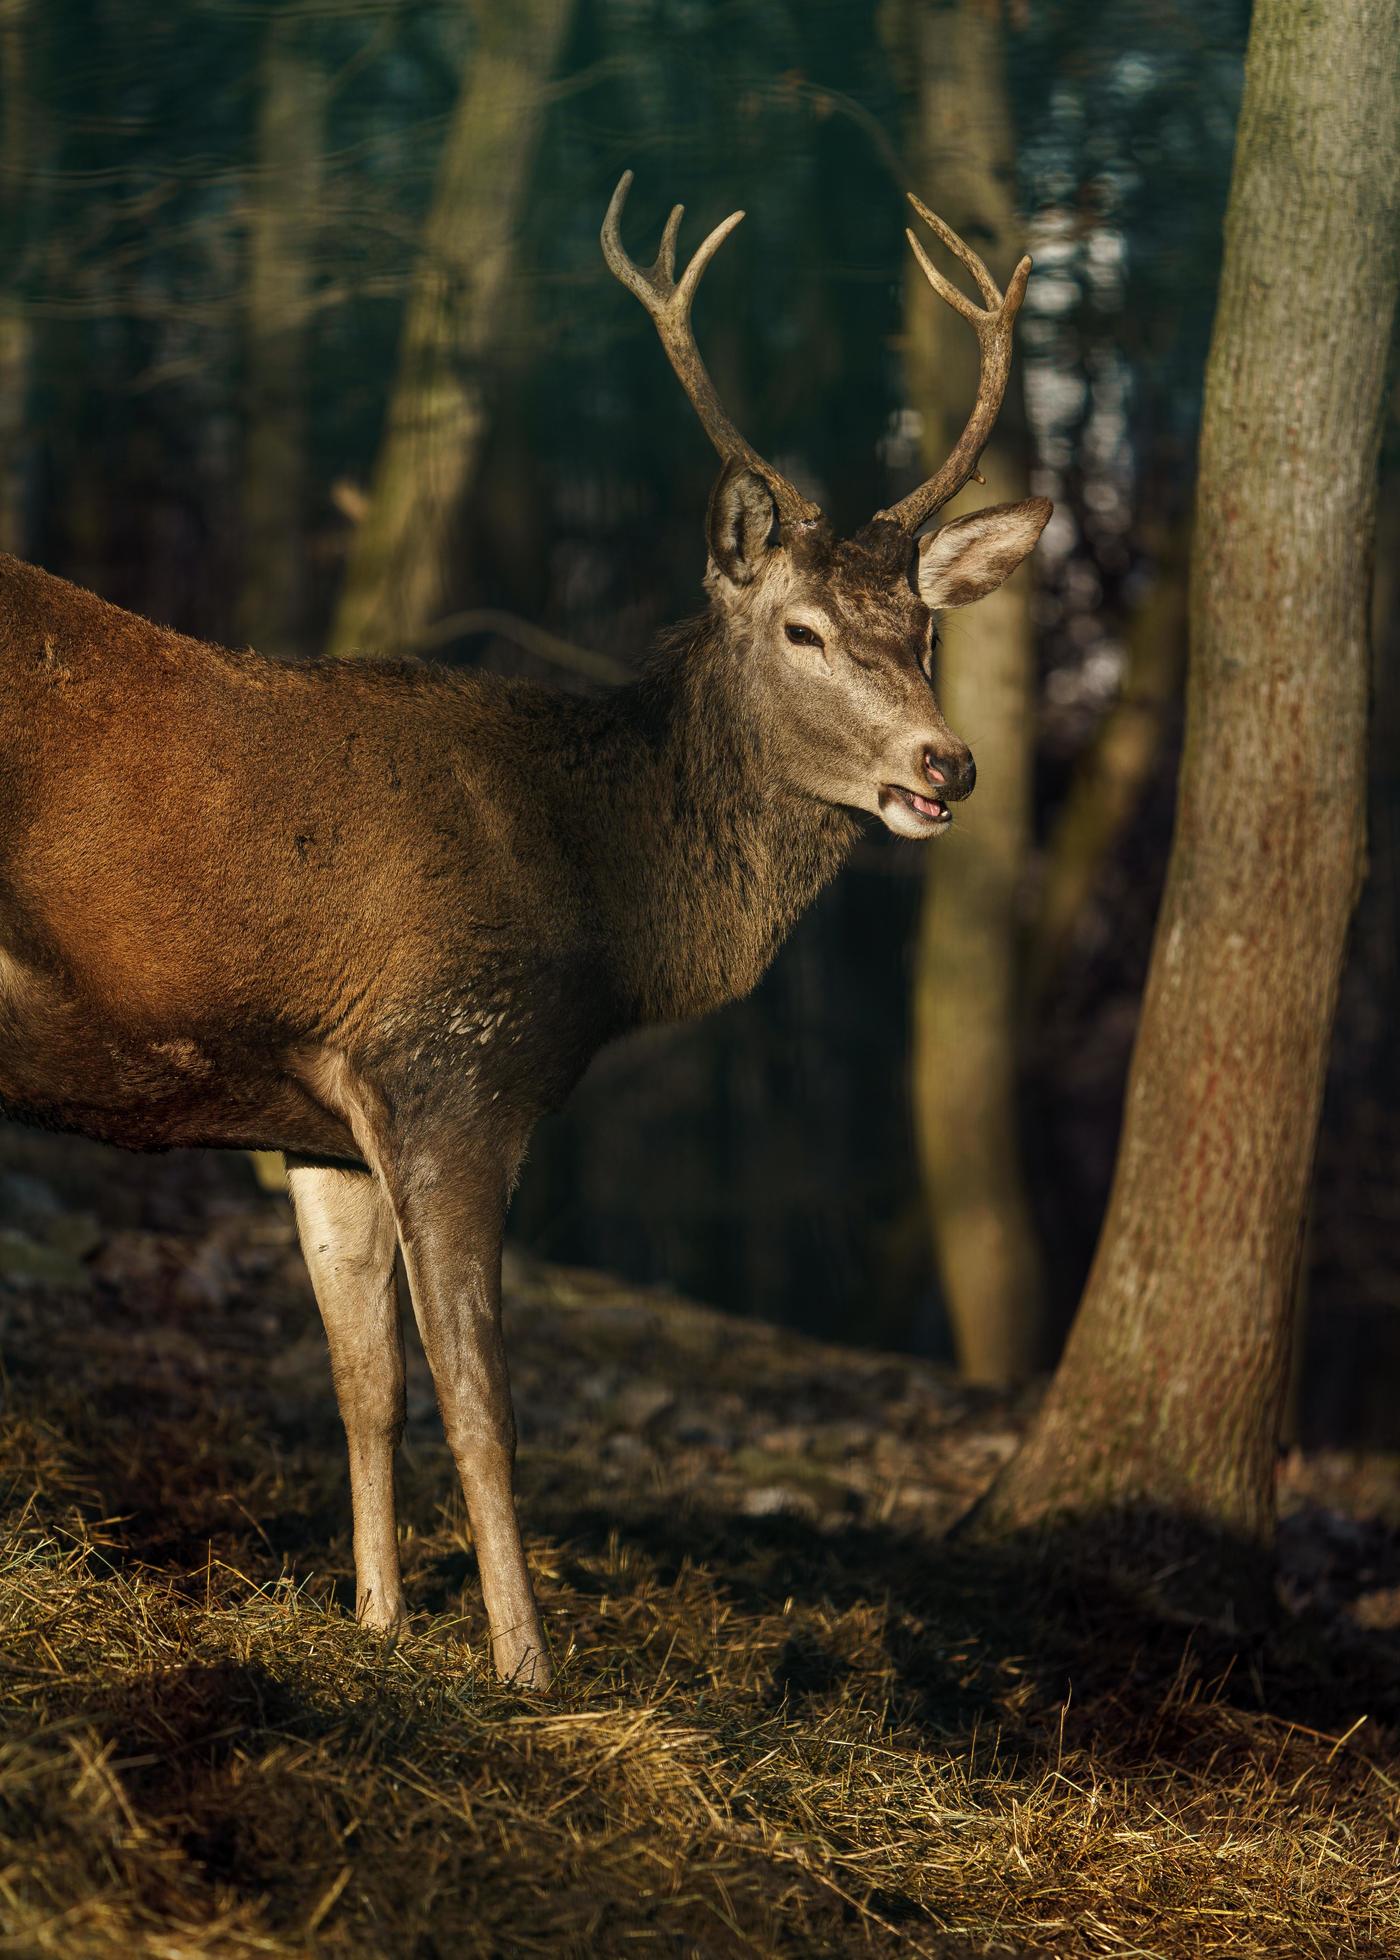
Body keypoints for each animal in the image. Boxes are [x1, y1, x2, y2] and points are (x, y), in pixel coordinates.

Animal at [0, 180, 1043, 1685]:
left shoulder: (316, 1120)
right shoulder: (452, 1059)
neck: (603, 893)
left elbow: (365, 1383)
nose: (946, 764)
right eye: (800, 629)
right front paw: (528, 1669)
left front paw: (376, 1626)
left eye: (923, 631)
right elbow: (481, 1402)